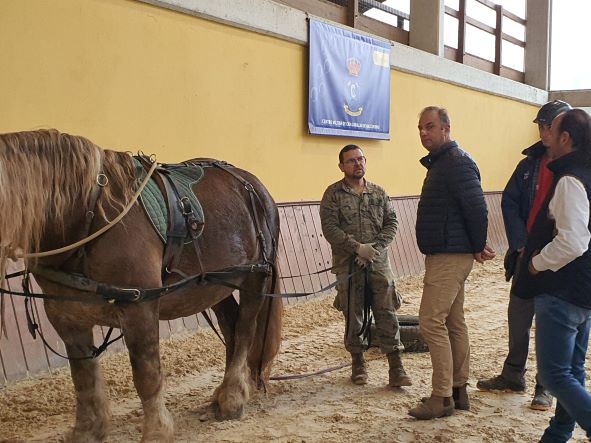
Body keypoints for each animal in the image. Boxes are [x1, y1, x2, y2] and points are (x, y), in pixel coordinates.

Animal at [0, 130, 284, 442]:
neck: (90, 217)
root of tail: (253, 185)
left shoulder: (139, 307)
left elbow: (147, 375)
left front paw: (158, 430)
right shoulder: (66, 317)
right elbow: (84, 379)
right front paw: (88, 430)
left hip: (255, 276)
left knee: (245, 330)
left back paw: (232, 399)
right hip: (215, 284)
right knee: (231, 328)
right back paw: (221, 396)